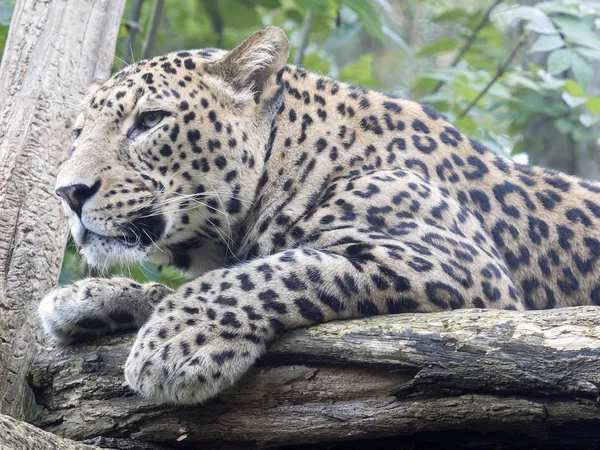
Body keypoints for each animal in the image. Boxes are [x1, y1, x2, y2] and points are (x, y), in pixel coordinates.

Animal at [39, 25, 600, 404]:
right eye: (77, 132)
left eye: (150, 120)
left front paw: (176, 341)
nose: (69, 192)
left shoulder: (463, 264)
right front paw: (89, 299)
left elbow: (276, 270)